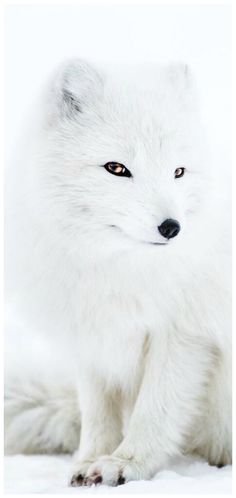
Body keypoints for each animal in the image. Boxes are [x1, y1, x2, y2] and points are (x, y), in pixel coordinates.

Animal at [4, 59, 231, 486]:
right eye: (116, 168)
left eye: (178, 171)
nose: (172, 228)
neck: (121, 270)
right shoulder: (92, 336)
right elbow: (97, 414)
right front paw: (88, 462)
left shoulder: (187, 336)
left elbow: (156, 408)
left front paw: (127, 464)